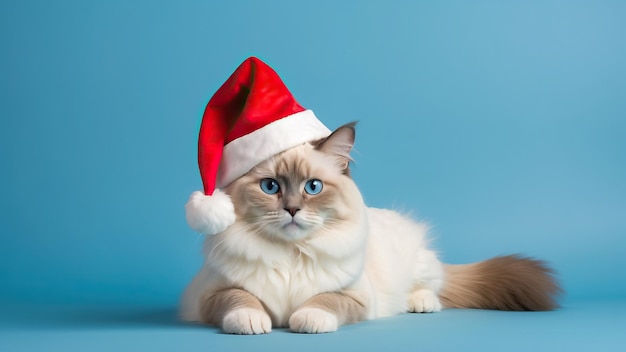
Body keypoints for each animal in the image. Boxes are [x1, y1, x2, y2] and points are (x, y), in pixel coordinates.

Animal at [178, 122, 560, 334]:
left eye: (313, 187)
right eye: (270, 187)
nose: (292, 210)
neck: (291, 254)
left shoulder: (355, 297)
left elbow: (324, 301)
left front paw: (307, 319)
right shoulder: (210, 295)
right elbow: (240, 299)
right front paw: (253, 322)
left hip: (419, 265)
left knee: (434, 288)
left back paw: (420, 303)